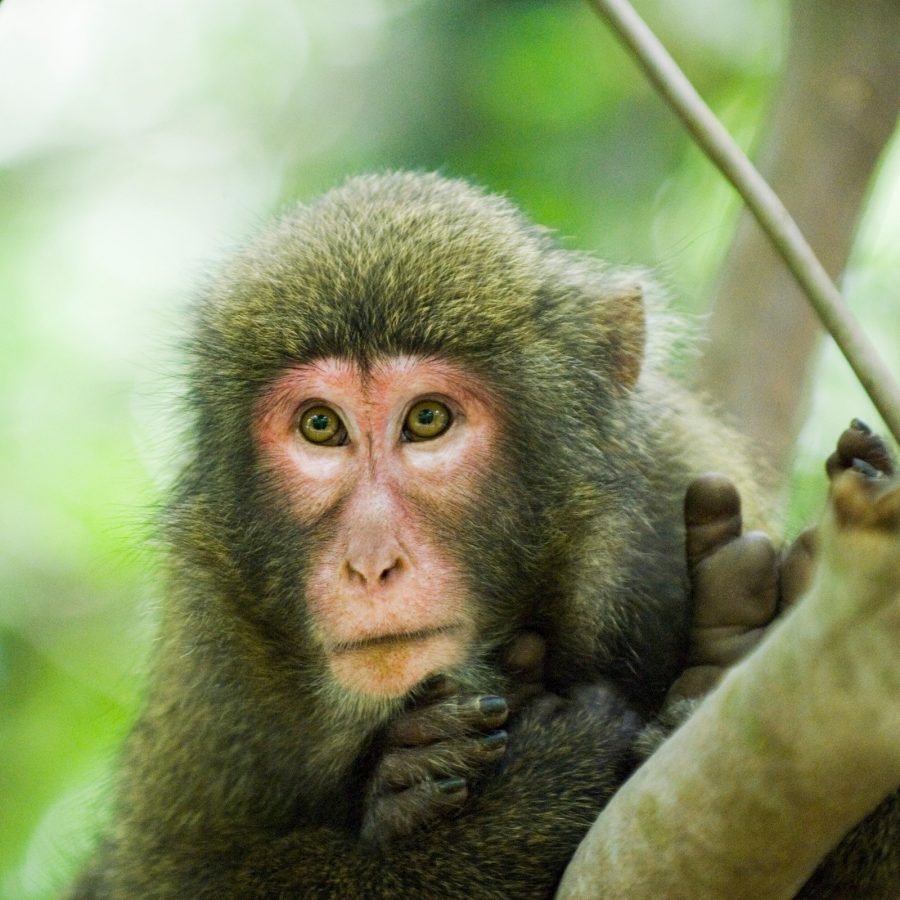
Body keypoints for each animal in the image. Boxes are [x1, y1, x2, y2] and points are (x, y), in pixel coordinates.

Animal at [70, 172, 899, 898]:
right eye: (321, 427)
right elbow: (162, 876)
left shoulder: (678, 470)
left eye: (428, 419)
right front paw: (500, 808)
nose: (370, 563)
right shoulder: (214, 643)